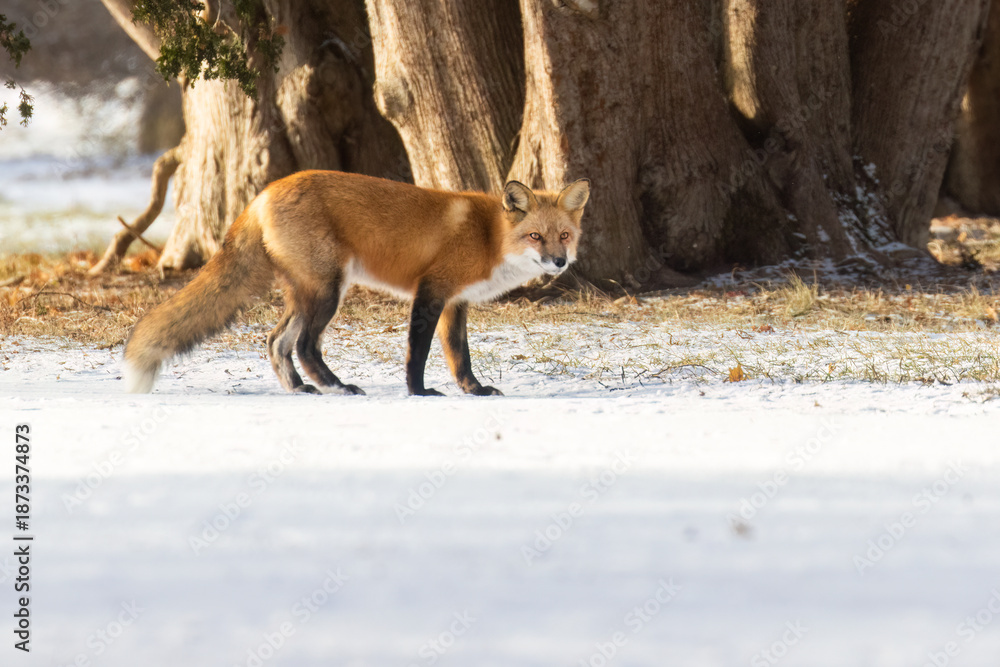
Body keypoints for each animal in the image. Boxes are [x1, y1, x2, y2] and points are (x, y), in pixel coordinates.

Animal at [124, 170, 590, 396]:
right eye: (535, 236)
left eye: (564, 235)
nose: (559, 262)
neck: (489, 238)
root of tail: (265, 192)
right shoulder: (431, 291)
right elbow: (417, 354)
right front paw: (420, 393)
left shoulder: (456, 303)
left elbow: (461, 358)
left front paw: (474, 392)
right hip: (329, 291)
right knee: (304, 346)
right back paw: (336, 386)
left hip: (308, 293)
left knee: (276, 341)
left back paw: (300, 389)